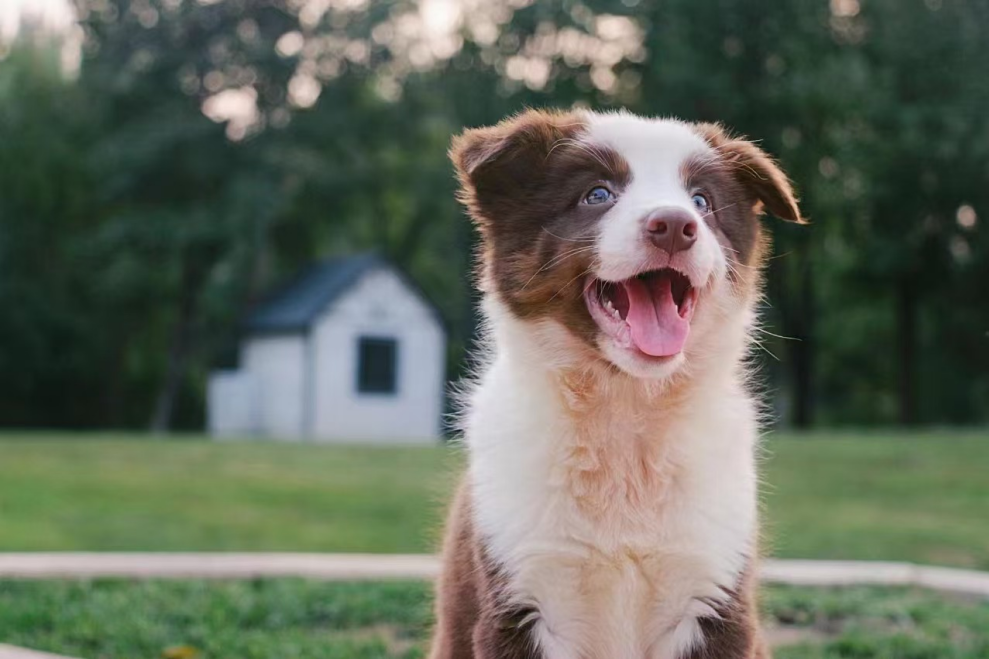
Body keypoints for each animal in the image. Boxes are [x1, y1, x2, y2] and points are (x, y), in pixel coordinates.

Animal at [432, 109, 804, 659]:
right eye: (597, 194)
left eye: (702, 202)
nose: (674, 226)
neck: (626, 407)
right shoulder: (520, 598)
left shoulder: (714, 592)